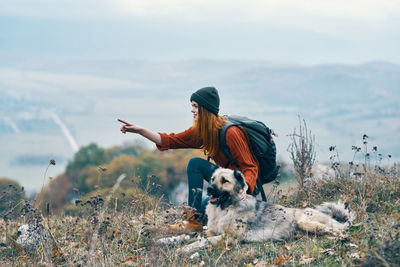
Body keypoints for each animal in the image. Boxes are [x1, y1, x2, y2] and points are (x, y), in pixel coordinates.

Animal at [167, 169, 354, 254]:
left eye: (224, 180)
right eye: (212, 179)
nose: (210, 189)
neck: (224, 209)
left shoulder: (229, 237)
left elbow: (200, 241)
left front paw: (182, 249)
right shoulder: (212, 231)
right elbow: (190, 235)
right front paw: (169, 240)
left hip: (305, 221)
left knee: (340, 230)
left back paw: (342, 238)